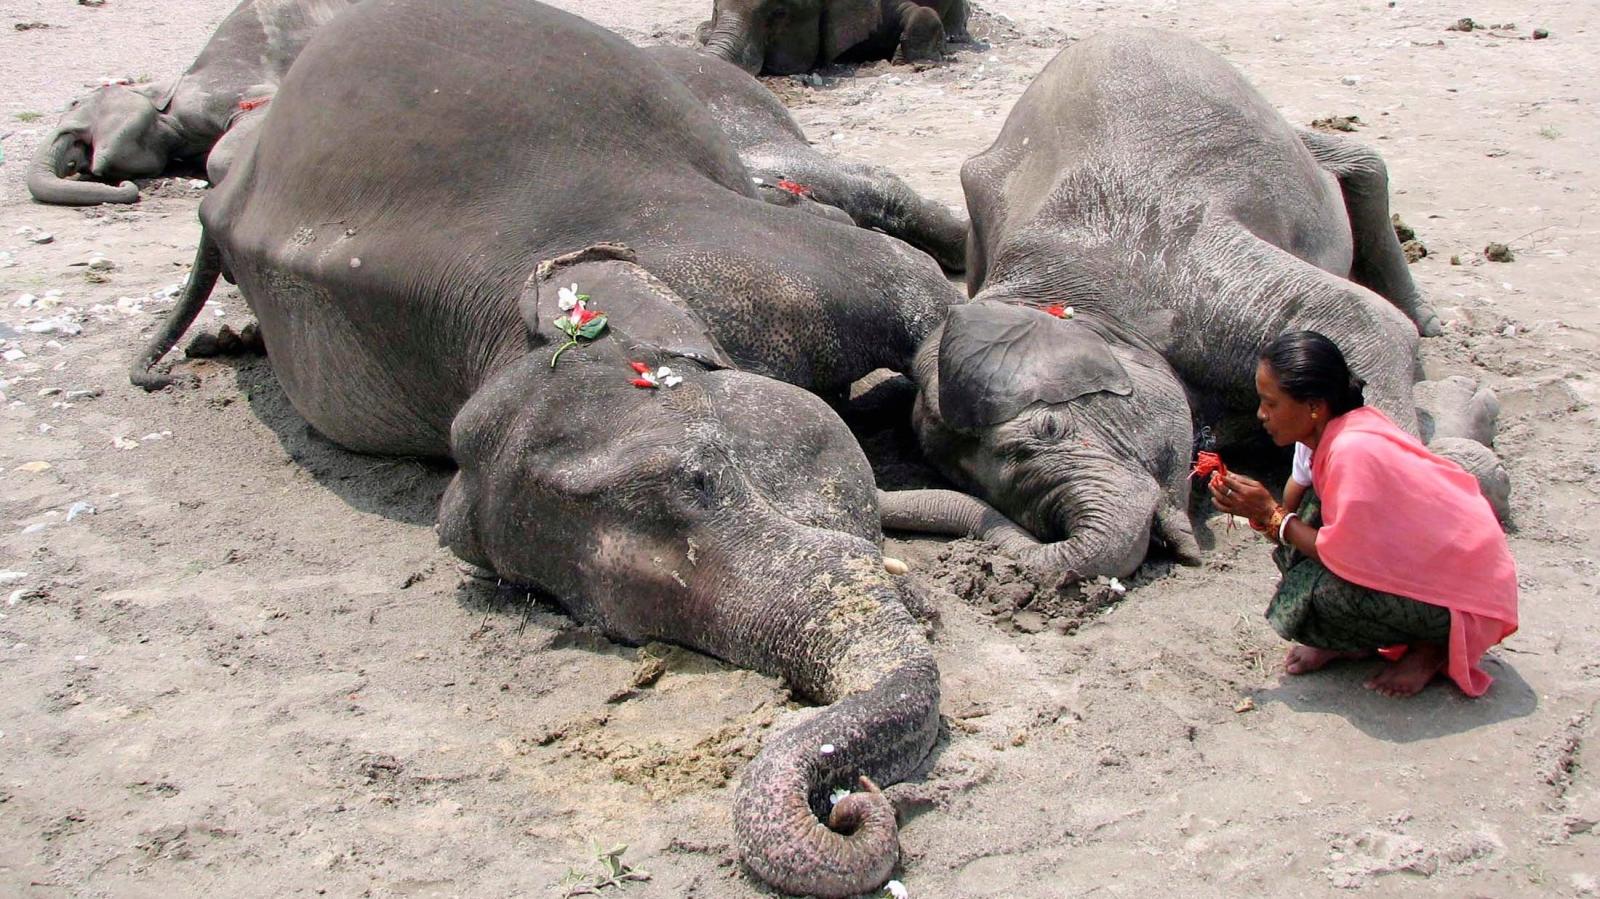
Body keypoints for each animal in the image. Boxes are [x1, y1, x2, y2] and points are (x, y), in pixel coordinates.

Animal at [881, 30, 1482, 580]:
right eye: (972, 484)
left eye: (1047, 431)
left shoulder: (1174, 263)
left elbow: (1367, 322)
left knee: (1355, 163)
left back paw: (1428, 320)